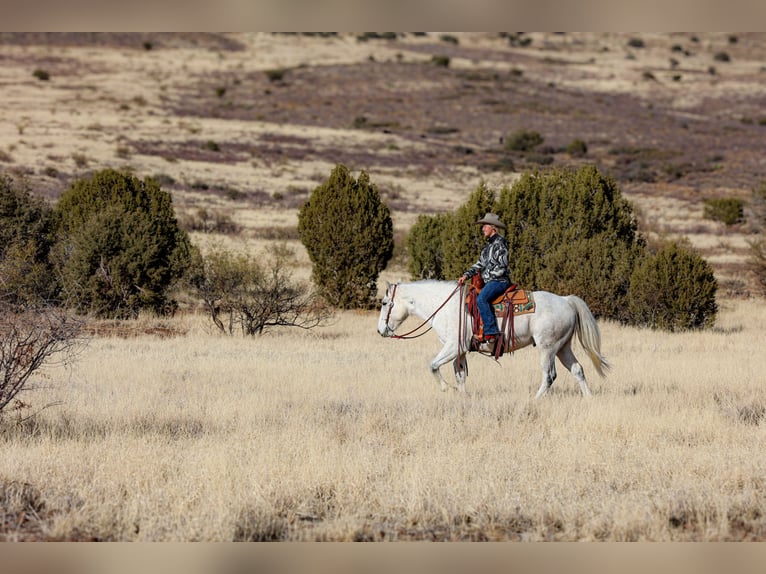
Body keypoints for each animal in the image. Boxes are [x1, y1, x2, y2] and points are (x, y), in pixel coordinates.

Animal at [378, 282, 612, 398]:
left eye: (384, 302)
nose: (380, 330)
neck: (446, 305)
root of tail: (566, 300)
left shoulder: (454, 346)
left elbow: (433, 366)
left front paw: (447, 389)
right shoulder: (460, 351)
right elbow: (460, 376)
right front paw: (462, 397)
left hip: (547, 348)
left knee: (549, 375)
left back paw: (535, 400)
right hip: (563, 347)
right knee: (578, 370)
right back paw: (589, 398)